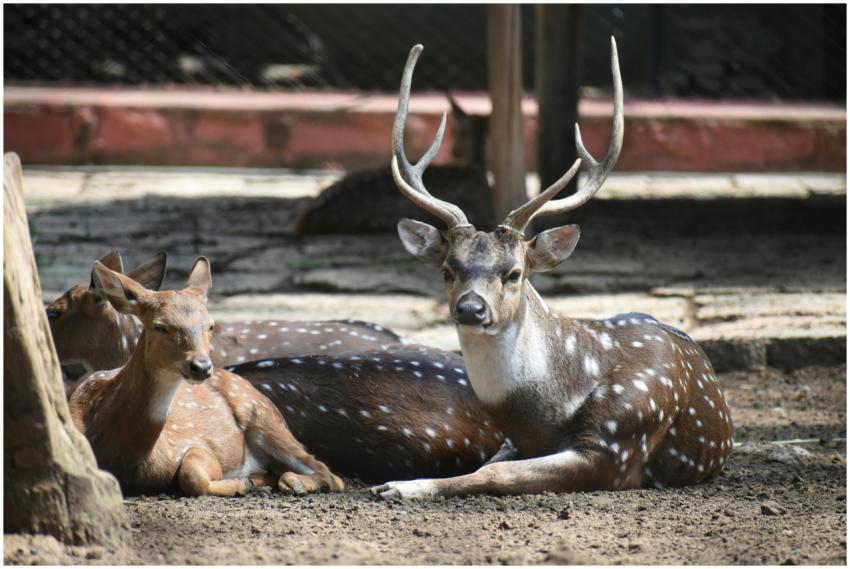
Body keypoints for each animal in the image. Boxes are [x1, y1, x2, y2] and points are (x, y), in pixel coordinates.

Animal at [68, 257, 344, 496]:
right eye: (160, 326)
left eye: (210, 325)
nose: (201, 367)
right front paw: (244, 482)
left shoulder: (196, 445)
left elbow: (192, 476)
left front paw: (240, 484)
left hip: (267, 420)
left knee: (330, 475)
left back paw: (291, 482)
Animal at [371, 39, 734, 500]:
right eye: (448, 270)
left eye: (514, 272)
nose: (470, 309)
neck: (542, 416)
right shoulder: (515, 440)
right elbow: (485, 462)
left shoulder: (615, 446)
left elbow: (494, 473)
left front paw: (401, 486)